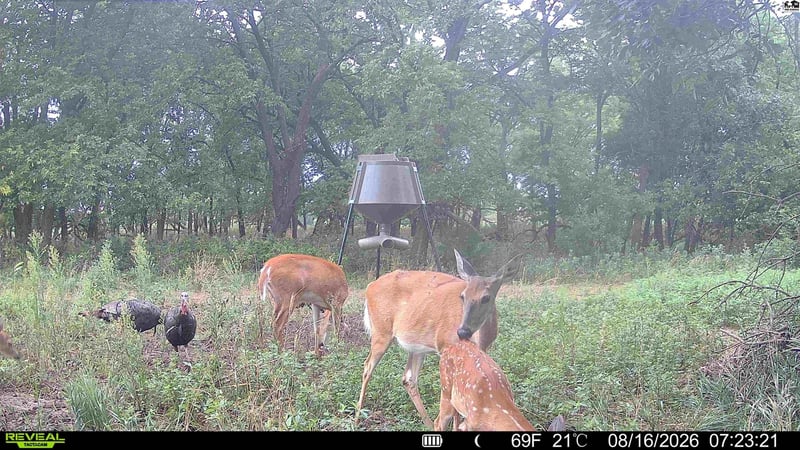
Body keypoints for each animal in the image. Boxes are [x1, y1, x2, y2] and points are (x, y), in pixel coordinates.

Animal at [355, 249, 521, 429]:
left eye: (486, 298)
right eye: (462, 296)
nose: (462, 331)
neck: (479, 340)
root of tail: (370, 287)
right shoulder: (444, 346)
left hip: (416, 345)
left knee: (408, 378)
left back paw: (427, 424)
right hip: (381, 331)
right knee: (367, 366)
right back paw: (357, 418)